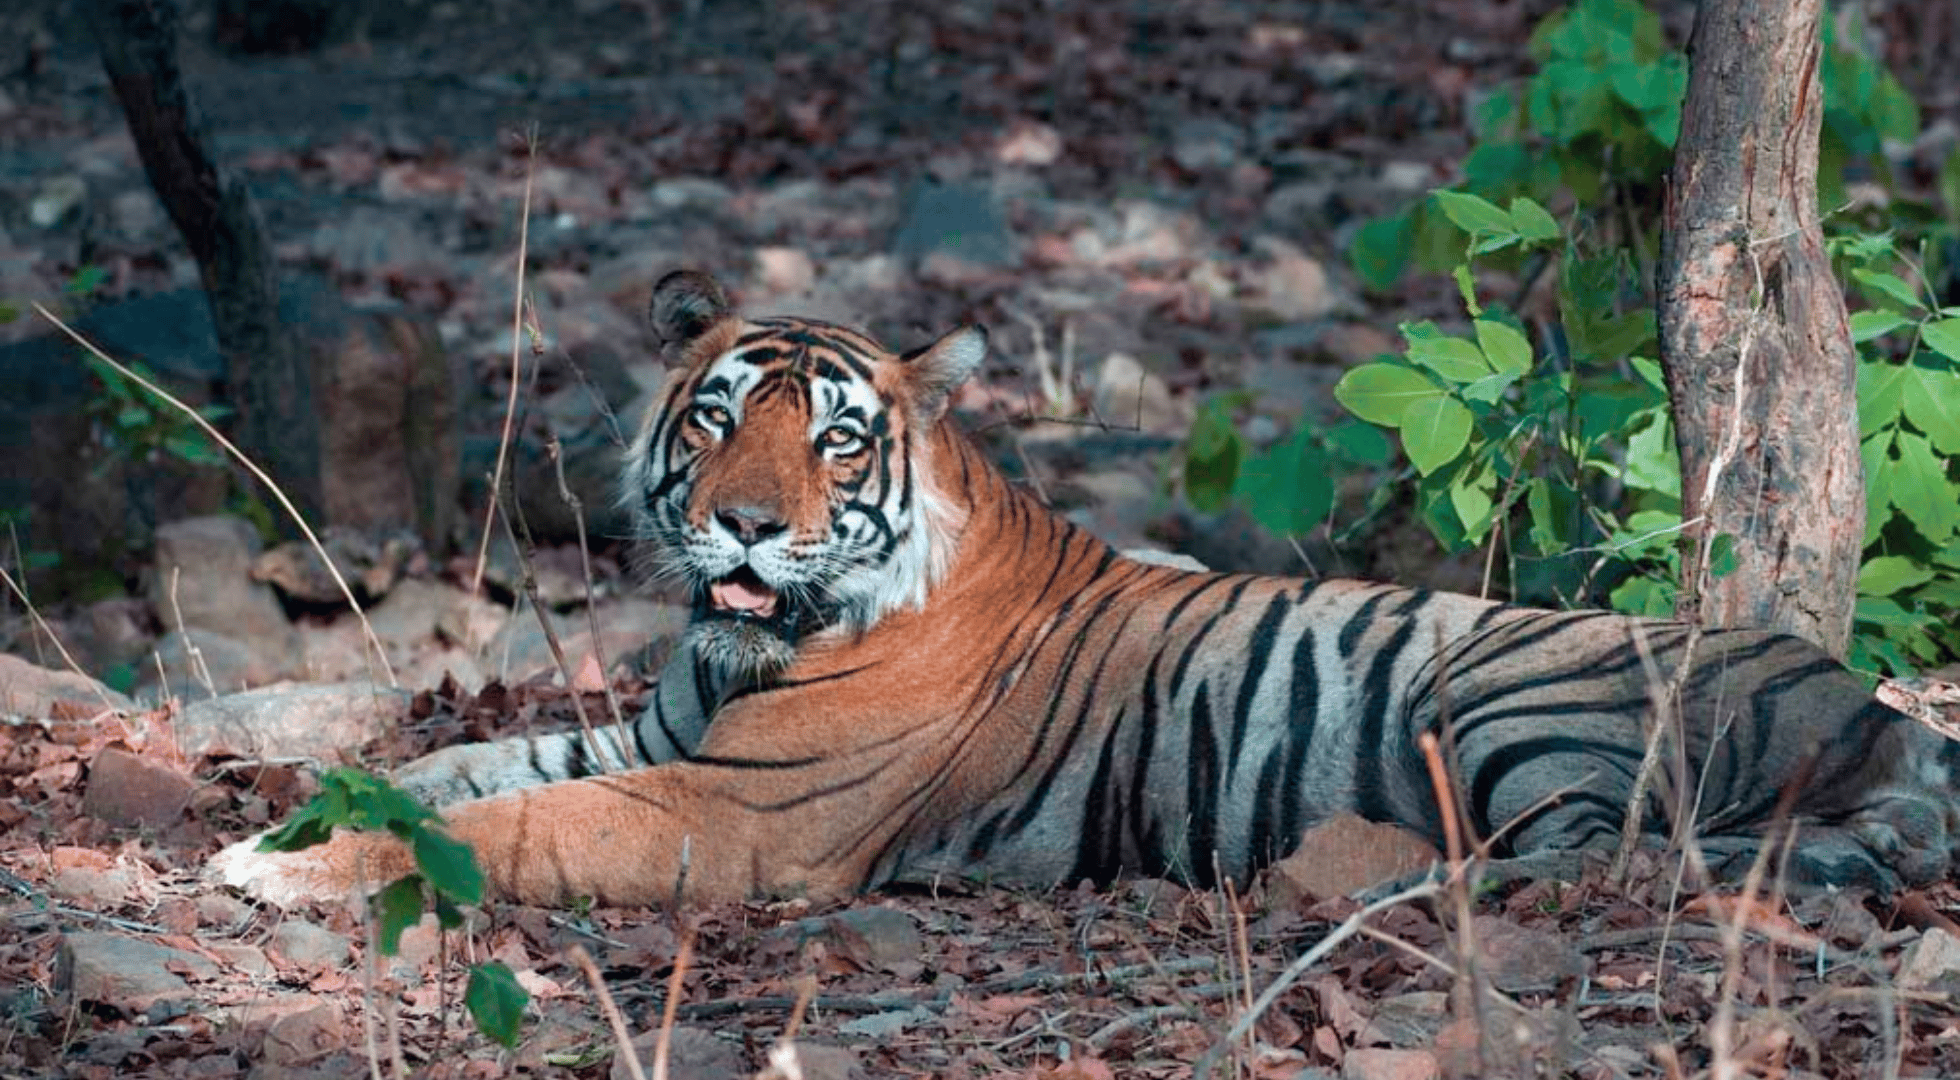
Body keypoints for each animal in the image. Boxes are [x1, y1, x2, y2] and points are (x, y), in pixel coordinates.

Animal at [214, 272, 1960, 913]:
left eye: (833, 435)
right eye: (714, 418)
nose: (743, 531)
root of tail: (1864, 695)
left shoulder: (733, 812)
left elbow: (504, 824)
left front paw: (284, 869)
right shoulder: (655, 741)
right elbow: (461, 762)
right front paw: (291, 813)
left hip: (1511, 683)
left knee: (1594, 857)